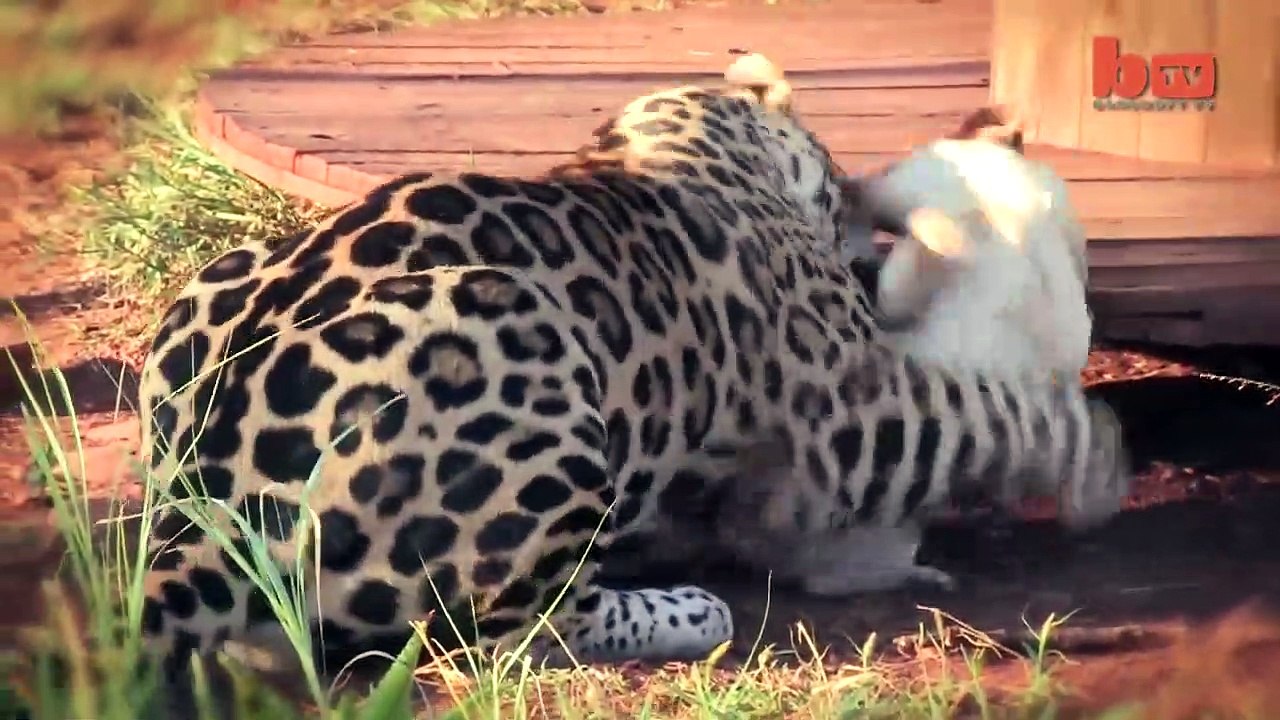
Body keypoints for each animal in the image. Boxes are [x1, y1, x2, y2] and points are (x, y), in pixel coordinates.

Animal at [132, 52, 1127, 680]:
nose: (854, 225)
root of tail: (200, 512)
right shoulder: (851, 406)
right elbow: (987, 410)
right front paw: (1098, 460)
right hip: (521, 336)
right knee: (508, 633)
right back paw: (689, 608)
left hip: (214, 280)